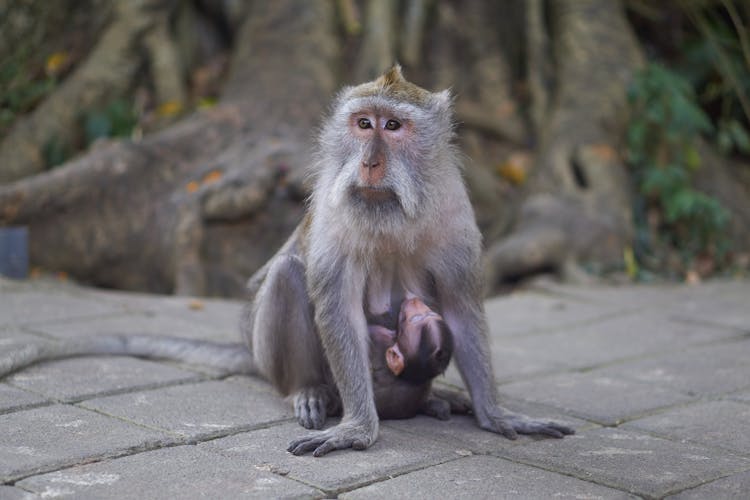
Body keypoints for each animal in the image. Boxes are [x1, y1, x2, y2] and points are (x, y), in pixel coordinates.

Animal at [244, 66, 572, 458]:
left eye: (393, 126)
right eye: (364, 123)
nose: (369, 162)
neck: (392, 214)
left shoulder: (454, 212)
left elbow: (460, 309)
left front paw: (495, 413)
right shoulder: (331, 211)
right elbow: (340, 311)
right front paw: (357, 427)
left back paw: (435, 397)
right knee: (285, 273)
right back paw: (308, 389)